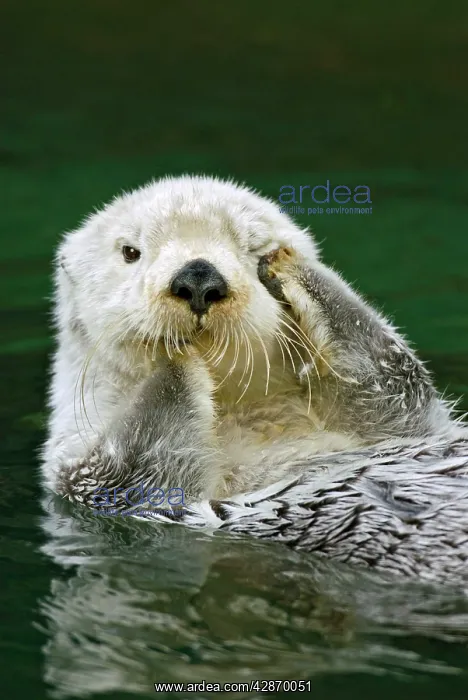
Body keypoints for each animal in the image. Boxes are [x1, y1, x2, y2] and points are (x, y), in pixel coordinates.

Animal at [42, 175, 460, 523]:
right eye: (130, 251)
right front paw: (175, 355)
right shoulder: (84, 472)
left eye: (253, 247)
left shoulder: (410, 426)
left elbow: (395, 380)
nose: (198, 277)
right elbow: (136, 467)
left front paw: (291, 266)